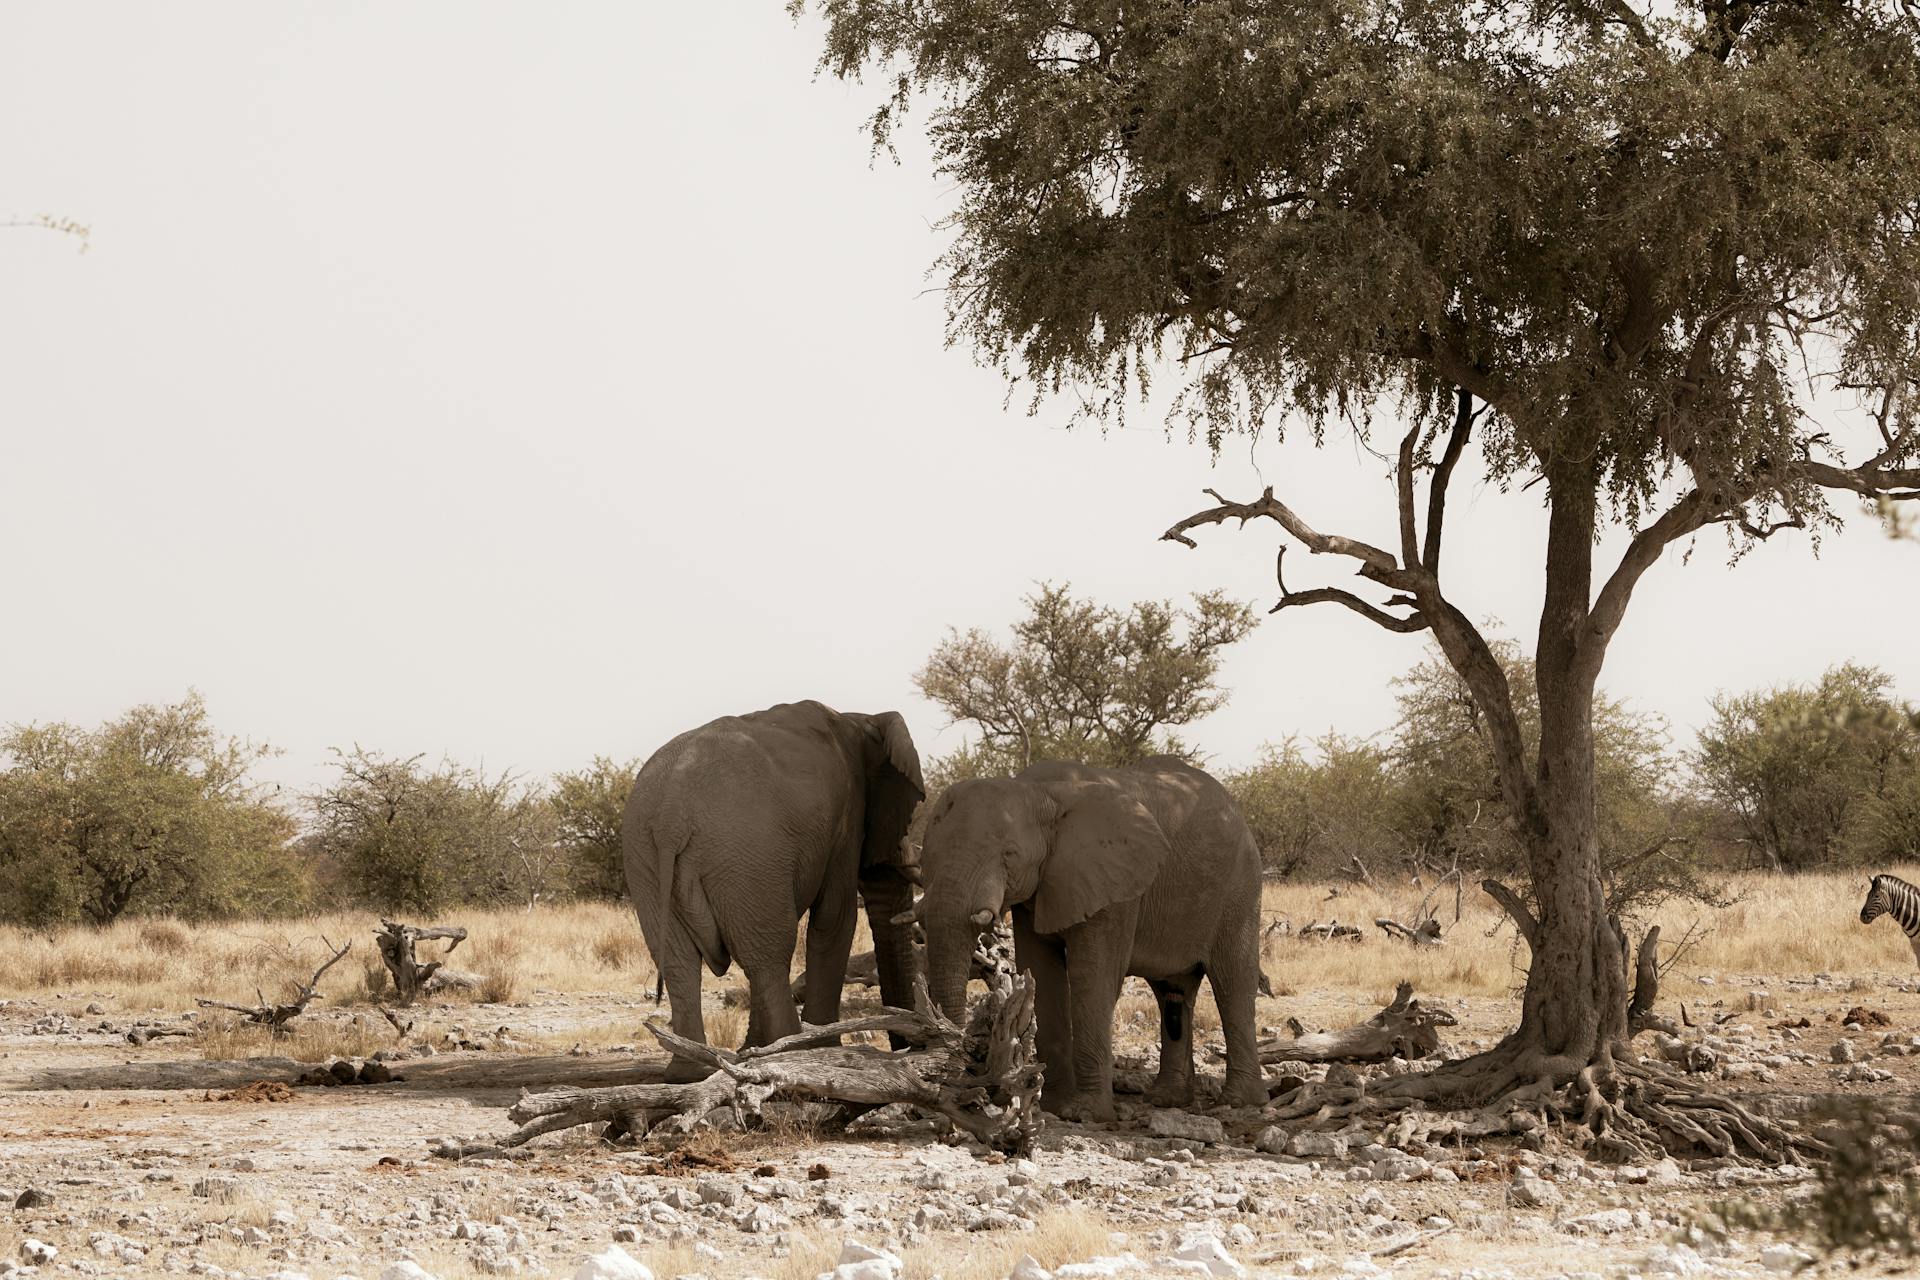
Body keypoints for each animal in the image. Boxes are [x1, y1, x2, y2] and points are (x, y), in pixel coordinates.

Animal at [622, 702, 921, 1082]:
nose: (907, 1045)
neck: (859, 718)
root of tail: (670, 817)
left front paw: (751, 1052)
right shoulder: (847, 818)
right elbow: (835, 919)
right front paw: (822, 1051)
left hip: (644, 858)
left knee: (681, 961)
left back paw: (690, 1072)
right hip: (746, 854)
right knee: (769, 956)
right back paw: (789, 1054)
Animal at [910, 756, 1267, 1128]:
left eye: (1010, 854)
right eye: (927, 857)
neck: (1038, 792)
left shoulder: (1114, 885)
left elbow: (1092, 977)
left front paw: (1084, 1115)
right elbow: (1042, 972)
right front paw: (1052, 1106)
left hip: (1240, 886)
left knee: (1232, 984)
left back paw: (1240, 1102)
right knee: (1173, 990)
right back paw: (1167, 1100)